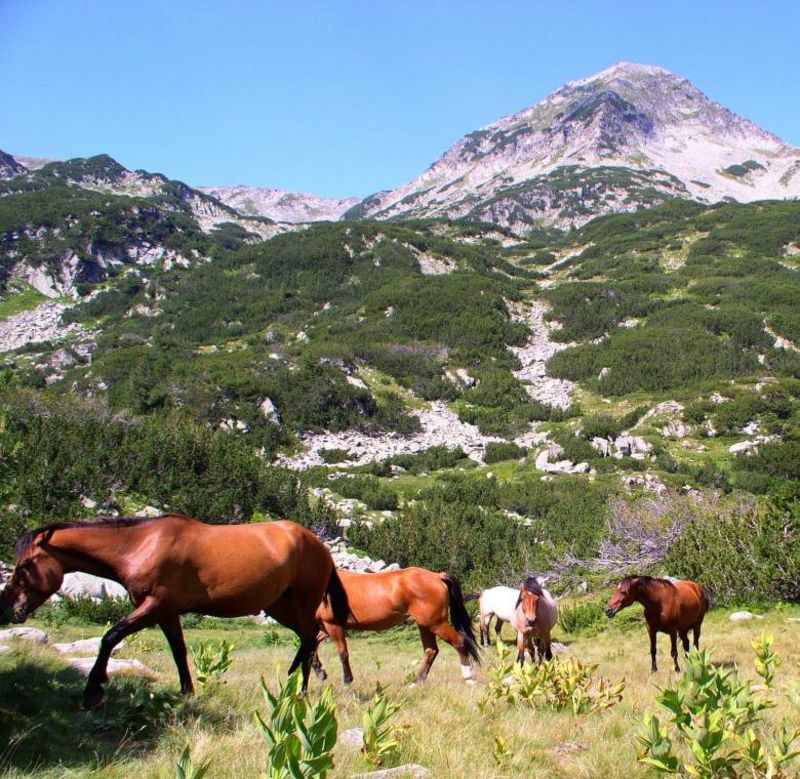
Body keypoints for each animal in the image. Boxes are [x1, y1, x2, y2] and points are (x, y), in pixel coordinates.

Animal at [0, 514, 349, 707]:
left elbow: (111, 636)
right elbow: (179, 651)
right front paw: (187, 693)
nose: (10, 609)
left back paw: (300, 690)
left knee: (309, 640)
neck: (142, 544)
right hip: (280, 606)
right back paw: (297, 679)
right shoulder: (166, 613)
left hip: (303, 601)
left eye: (26, 566)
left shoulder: (154, 606)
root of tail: (318, 544)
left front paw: (93, 688)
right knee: (309, 640)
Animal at [310, 567, 480, 685]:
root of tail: (437, 576)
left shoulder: (333, 625)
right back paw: (417, 682)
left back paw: (469, 677)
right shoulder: (324, 628)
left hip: (436, 623)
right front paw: (321, 672)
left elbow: (342, 653)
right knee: (431, 650)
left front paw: (347, 681)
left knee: (459, 642)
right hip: (425, 624)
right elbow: (312, 648)